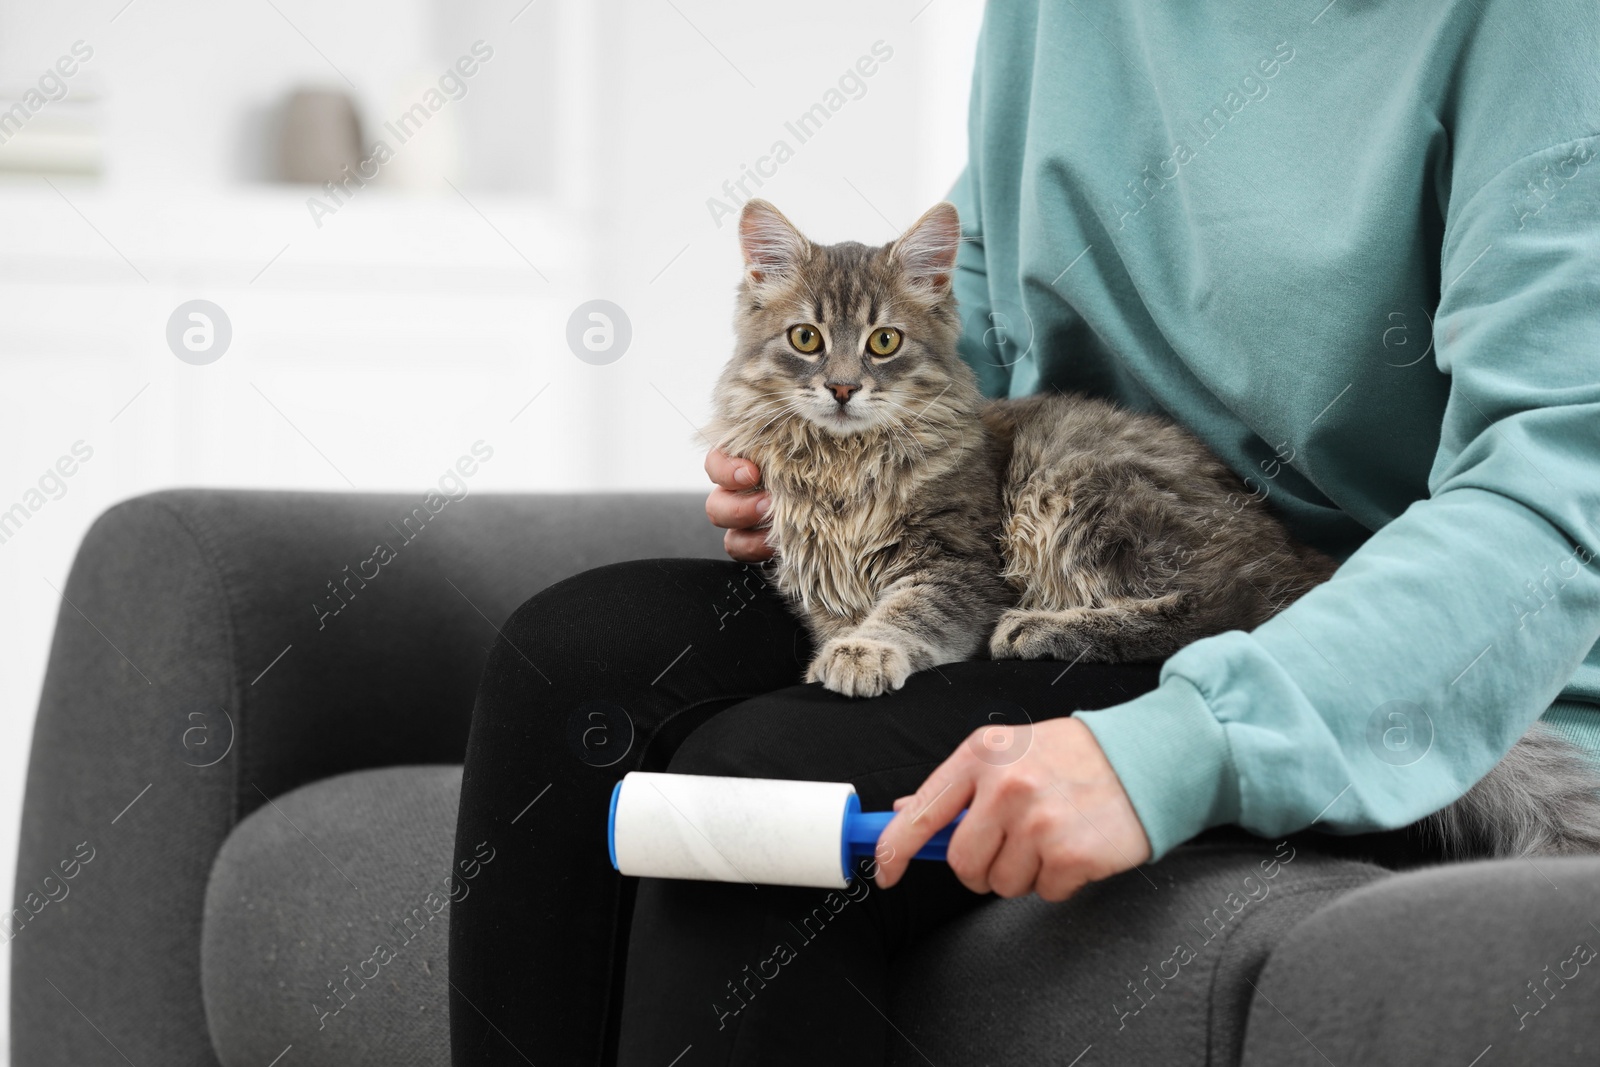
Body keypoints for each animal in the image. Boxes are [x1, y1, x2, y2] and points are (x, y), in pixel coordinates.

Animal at [710, 195, 1600, 857]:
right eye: (806, 339)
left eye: (884, 341)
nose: (842, 388)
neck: (840, 467)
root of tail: (1300, 559)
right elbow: (836, 616)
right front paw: (840, 645)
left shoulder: (958, 560)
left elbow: (908, 612)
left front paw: (866, 653)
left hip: (1079, 490)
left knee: (1210, 618)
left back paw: (1041, 627)